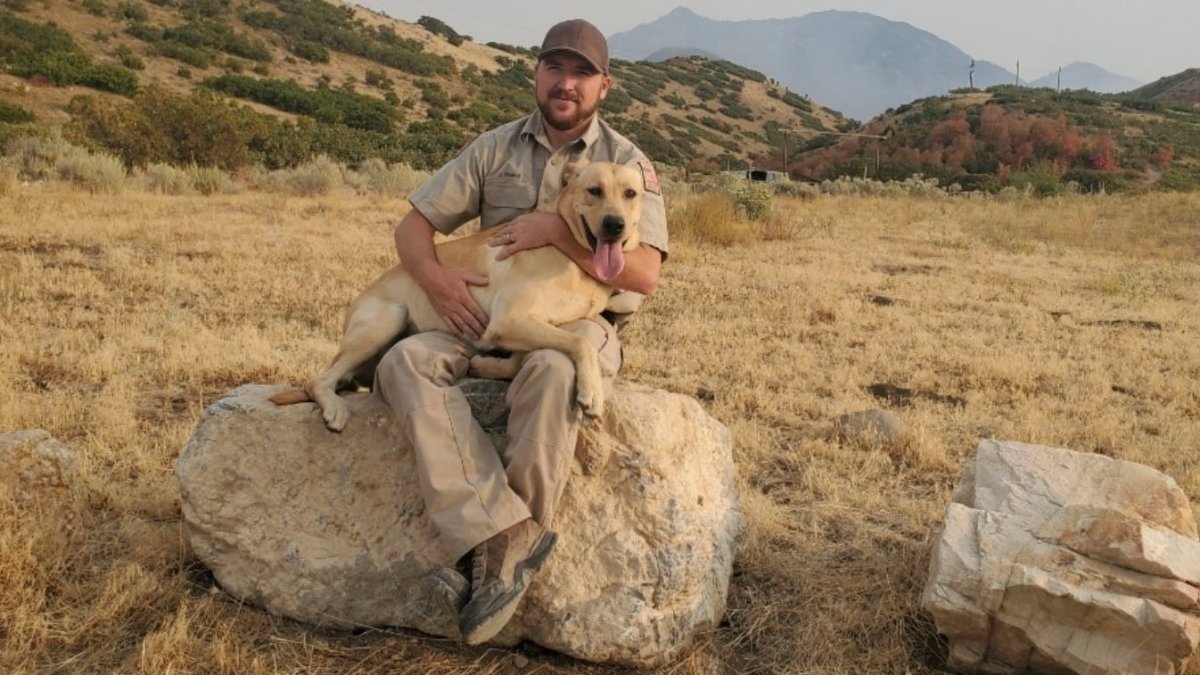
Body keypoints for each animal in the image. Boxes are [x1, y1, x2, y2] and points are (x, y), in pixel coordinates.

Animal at [273, 159, 648, 427]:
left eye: (630, 193)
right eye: (594, 190)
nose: (615, 226)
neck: (569, 253)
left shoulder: (529, 325)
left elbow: (528, 356)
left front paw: (486, 364)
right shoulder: (507, 320)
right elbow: (581, 343)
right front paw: (591, 392)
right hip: (386, 320)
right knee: (318, 380)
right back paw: (334, 409)